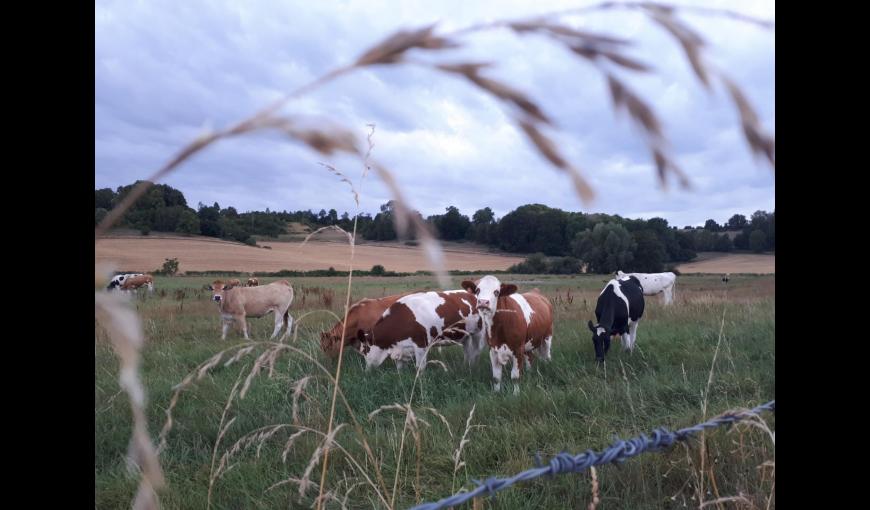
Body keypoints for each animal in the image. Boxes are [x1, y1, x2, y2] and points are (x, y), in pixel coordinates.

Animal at [360, 290, 488, 370]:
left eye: (365, 349)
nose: (367, 371)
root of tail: (472, 295)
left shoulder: (421, 345)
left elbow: (419, 368)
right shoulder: (401, 348)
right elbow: (400, 367)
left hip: (478, 333)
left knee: (476, 352)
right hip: (465, 335)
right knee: (467, 352)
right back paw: (466, 366)